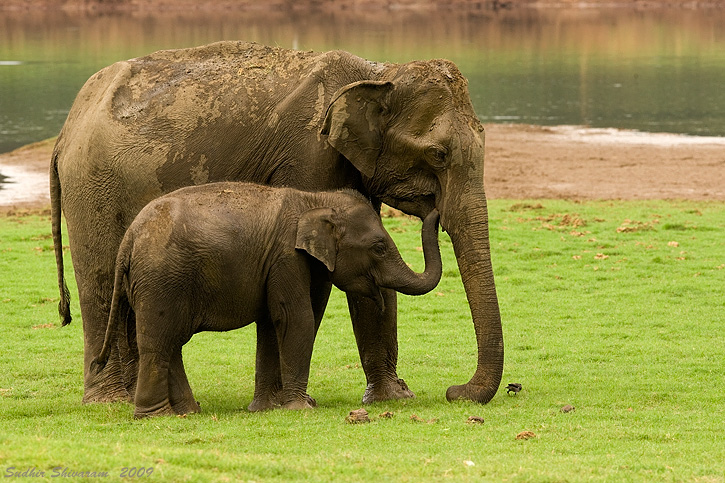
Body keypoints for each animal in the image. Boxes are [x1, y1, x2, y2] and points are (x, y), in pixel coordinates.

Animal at [92, 182, 442, 420]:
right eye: (379, 248)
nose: (435, 210)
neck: (314, 200)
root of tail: (128, 240)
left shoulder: (275, 265)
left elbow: (271, 325)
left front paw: (266, 408)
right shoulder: (286, 257)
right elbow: (296, 319)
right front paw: (301, 407)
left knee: (171, 343)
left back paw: (189, 411)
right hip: (161, 281)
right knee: (159, 342)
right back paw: (156, 416)